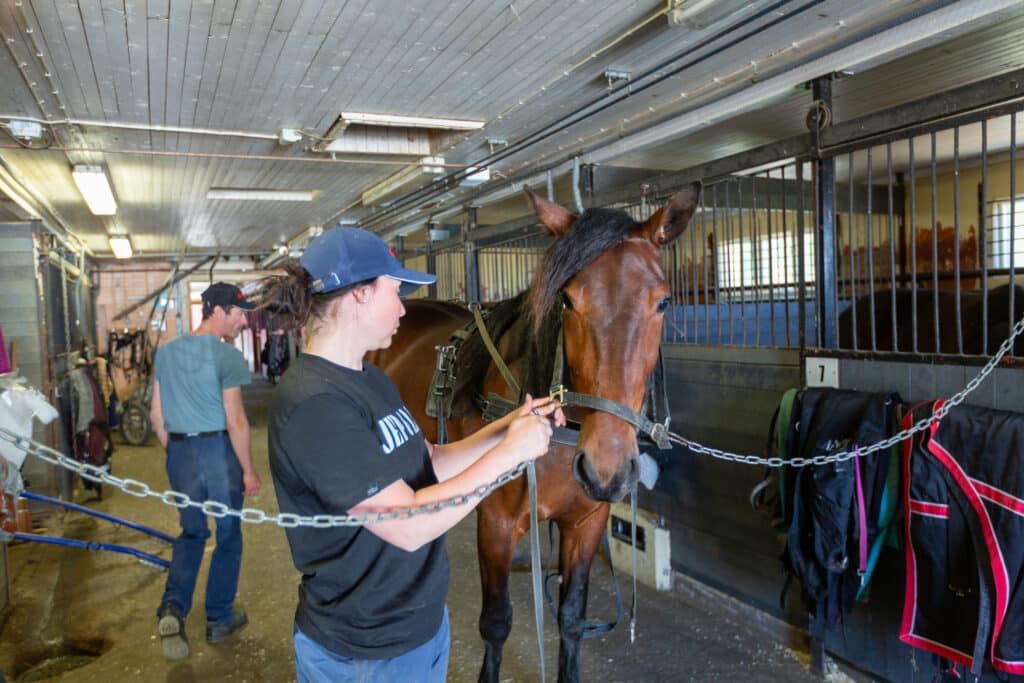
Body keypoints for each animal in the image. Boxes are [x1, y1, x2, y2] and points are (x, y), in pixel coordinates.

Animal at [370, 183, 704, 683]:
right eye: (567, 300)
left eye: (663, 302)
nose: (605, 469)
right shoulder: (497, 525)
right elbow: (496, 622)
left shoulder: (586, 524)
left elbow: (571, 618)